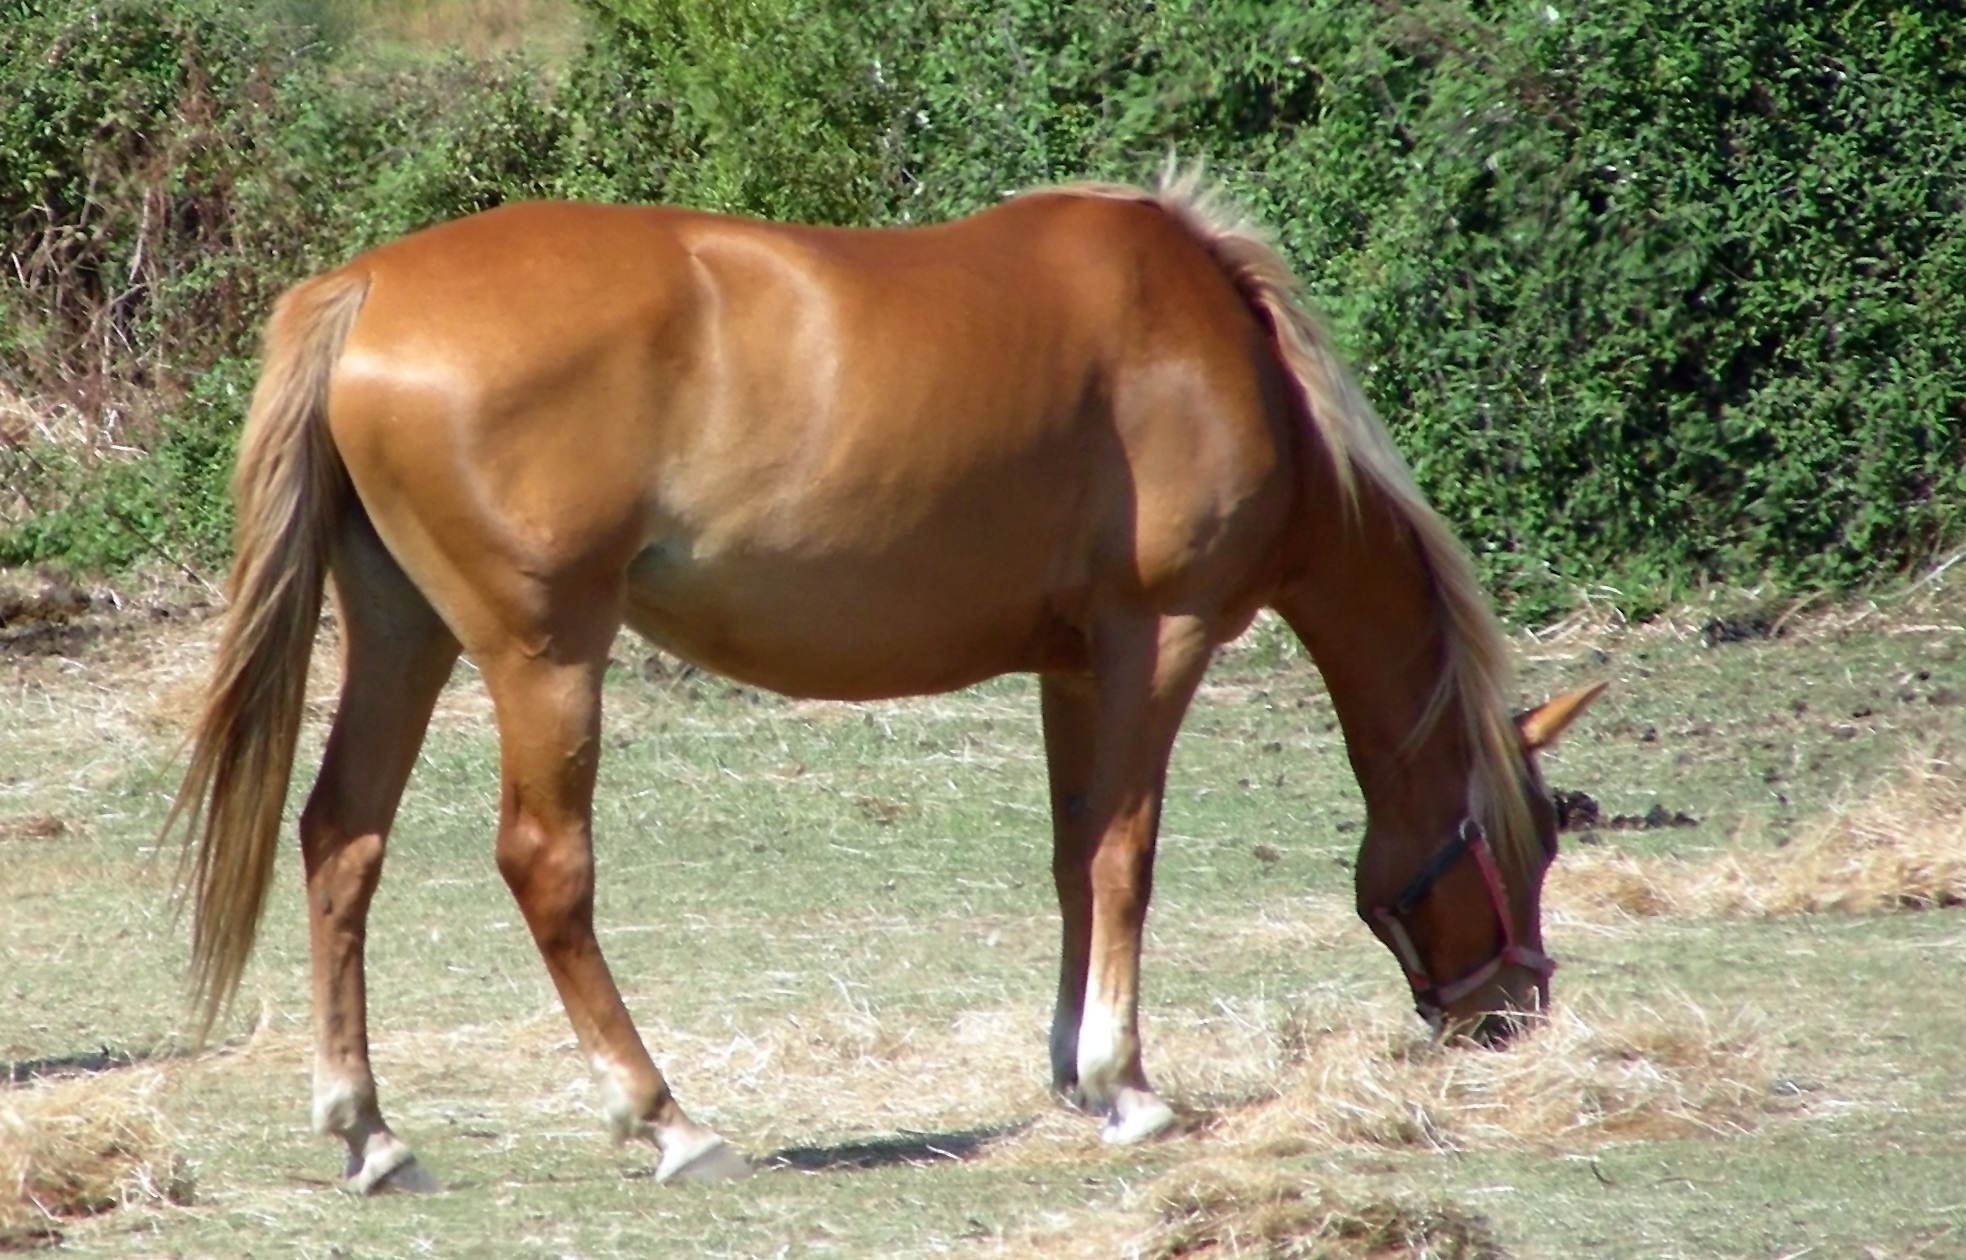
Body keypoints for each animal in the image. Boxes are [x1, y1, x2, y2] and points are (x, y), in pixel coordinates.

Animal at [167, 168, 1602, 1191]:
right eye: (1527, 844)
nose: (1515, 1014)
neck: (1219, 351)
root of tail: (365, 284)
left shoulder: (1075, 666)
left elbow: (1073, 852)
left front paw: (1072, 1071)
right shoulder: (1162, 638)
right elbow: (1126, 855)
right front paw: (1128, 1085)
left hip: (404, 631)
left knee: (341, 841)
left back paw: (369, 1131)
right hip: (542, 653)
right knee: (543, 865)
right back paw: (666, 1119)